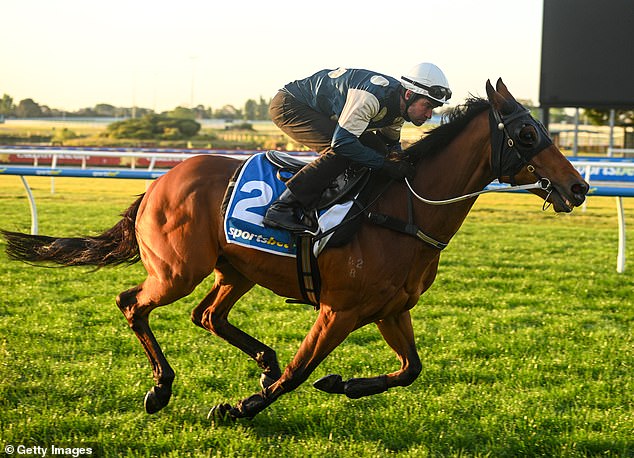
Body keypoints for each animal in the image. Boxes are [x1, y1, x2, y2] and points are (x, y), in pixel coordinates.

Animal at [1, 78, 588, 418]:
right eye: (528, 134)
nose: (580, 186)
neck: (405, 210)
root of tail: (162, 180)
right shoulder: (339, 309)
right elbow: (301, 370)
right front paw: (240, 408)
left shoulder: (390, 309)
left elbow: (411, 369)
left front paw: (342, 383)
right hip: (176, 270)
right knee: (133, 305)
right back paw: (162, 388)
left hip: (236, 268)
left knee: (207, 316)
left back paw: (259, 360)